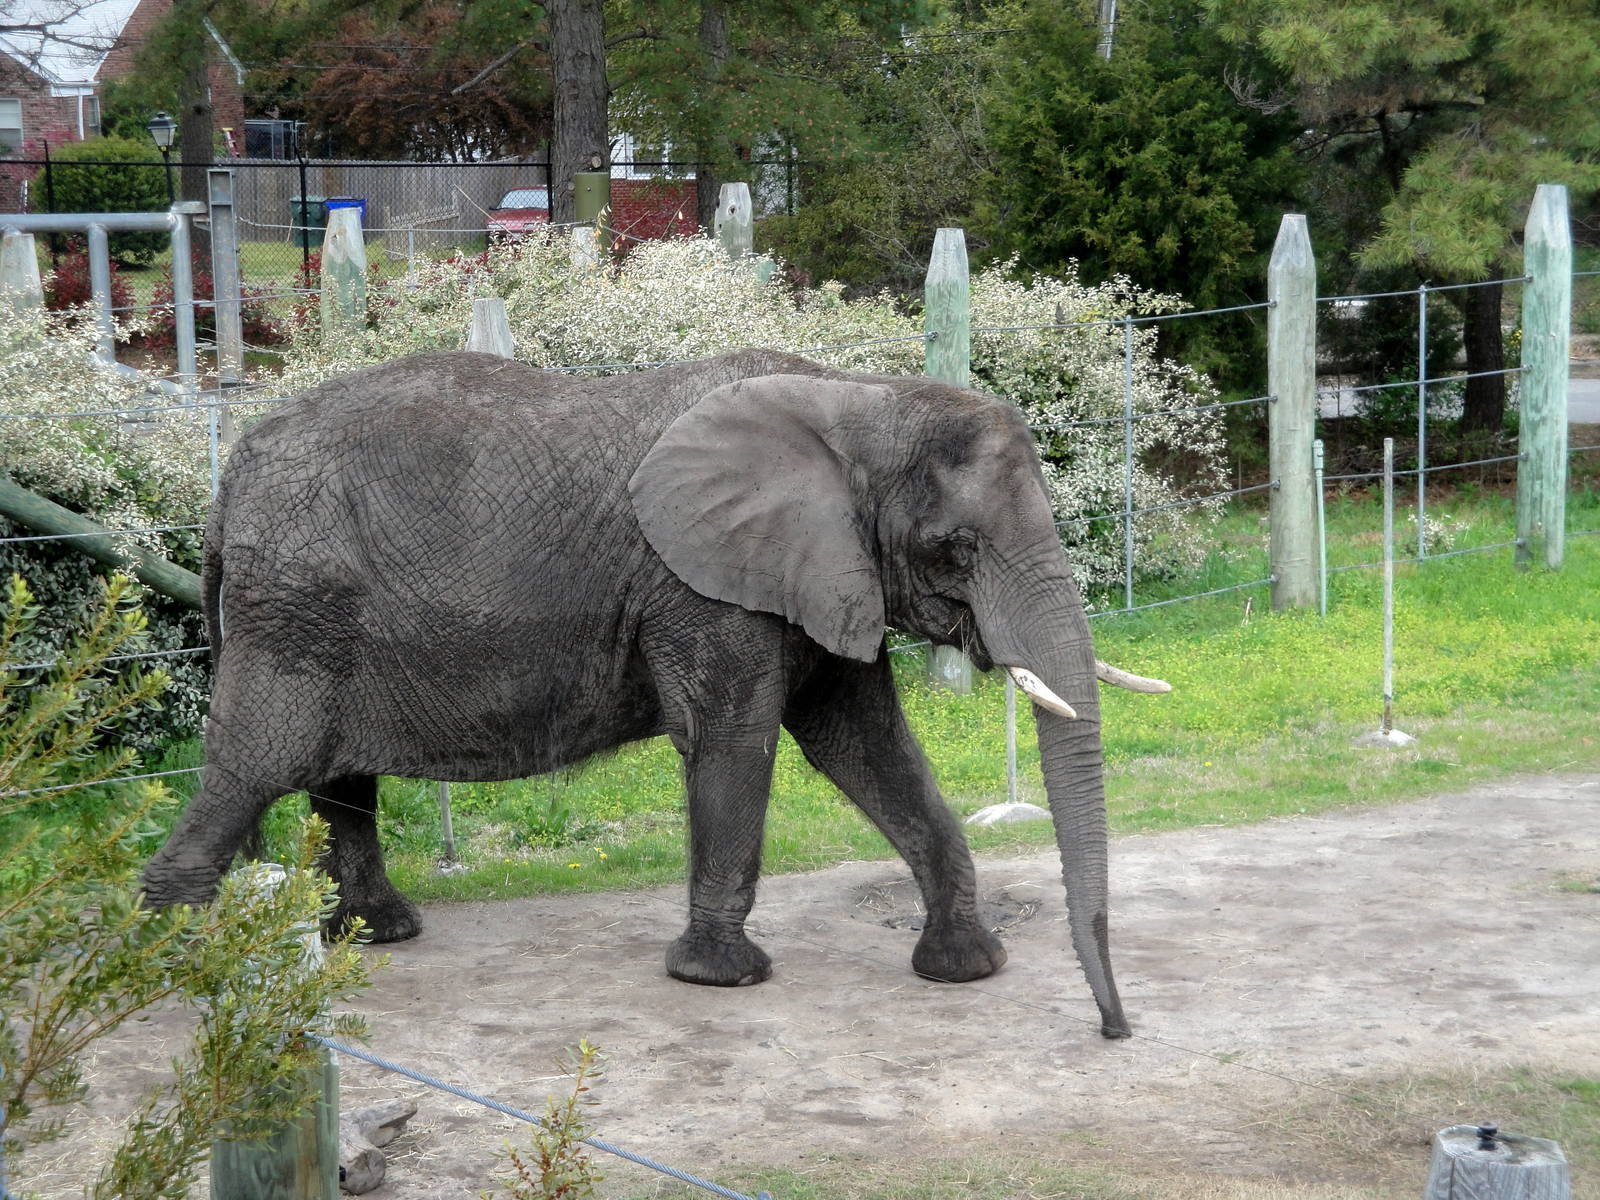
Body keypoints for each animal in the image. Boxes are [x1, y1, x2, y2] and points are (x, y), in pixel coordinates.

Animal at [141, 347, 1162, 1039]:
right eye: (958, 548)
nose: (1115, 1028)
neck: (856, 401)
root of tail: (231, 475)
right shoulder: (705, 586)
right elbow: (735, 740)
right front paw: (722, 979)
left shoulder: (820, 574)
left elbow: (865, 744)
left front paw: (965, 968)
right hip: (295, 610)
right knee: (256, 765)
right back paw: (178, 963)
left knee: (334, 776)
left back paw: (374, 935)